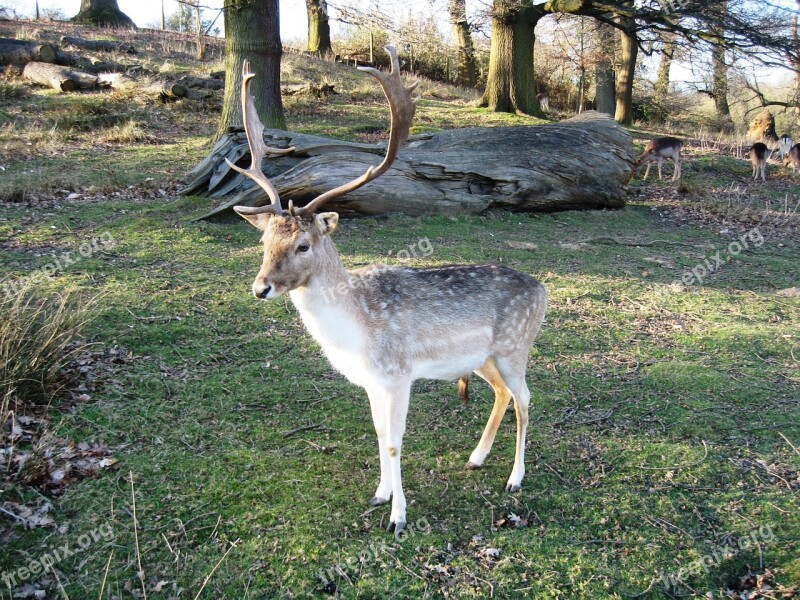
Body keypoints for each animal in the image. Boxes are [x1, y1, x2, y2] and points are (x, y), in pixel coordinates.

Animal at [228, 45, 548, 536]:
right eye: (264, 242)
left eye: (303, 245)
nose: (261, 287)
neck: (355, 331)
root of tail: (543, 291)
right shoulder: (370, 382)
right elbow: (379, 434)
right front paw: (380, 495)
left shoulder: (398, 375)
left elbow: (396, 442)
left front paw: (399, 517)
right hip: (484, 358)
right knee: (502, 393)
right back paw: (476, 457)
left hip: (516, 346)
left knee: (526, 399)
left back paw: (515, 478)